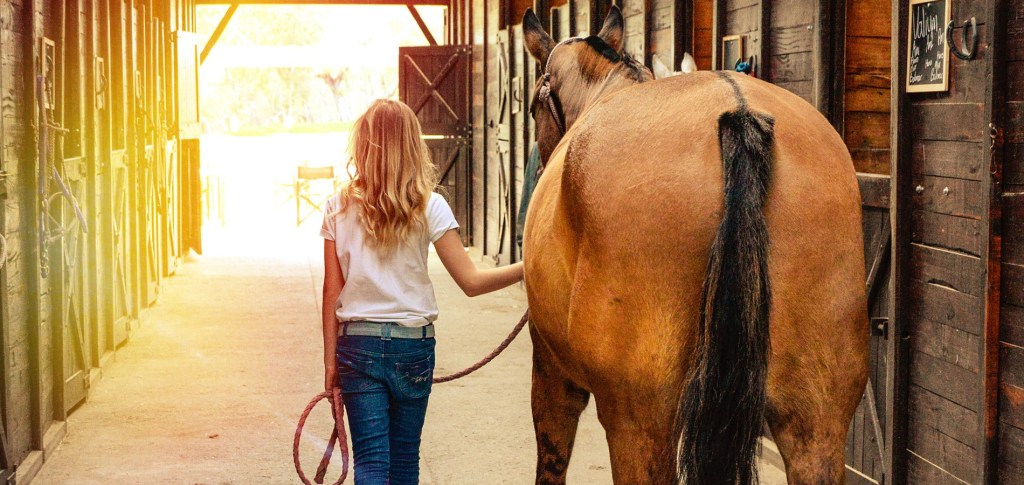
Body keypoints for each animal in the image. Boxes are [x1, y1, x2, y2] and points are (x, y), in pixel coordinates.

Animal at [519, 7, 869, 485]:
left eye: (534, 106)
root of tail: (739, 112)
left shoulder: (552, 371)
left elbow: (551, 457)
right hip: (817, 419)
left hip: (640, 421)